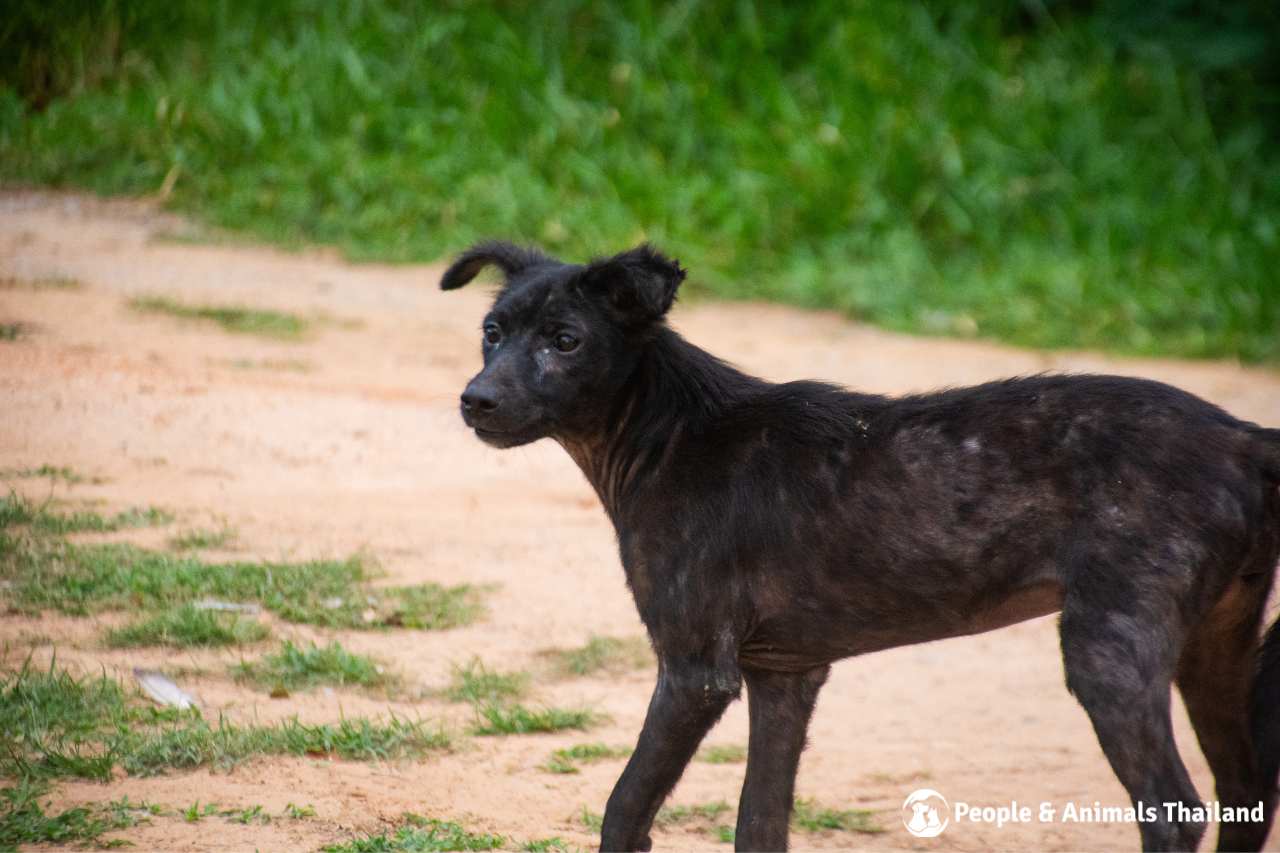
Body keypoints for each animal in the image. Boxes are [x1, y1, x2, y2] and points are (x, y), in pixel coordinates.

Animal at [442, 240, 1280, 850]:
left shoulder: (694, 670)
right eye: (491, 333)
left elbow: (623, 808)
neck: (670, 436)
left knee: (1174, 809)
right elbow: (759, 823)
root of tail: (1242, 437)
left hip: (1110, 651)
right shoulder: (784, 675)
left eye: (565, 340)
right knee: (1245, 792)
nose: (475, 401)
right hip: (1215, 643)